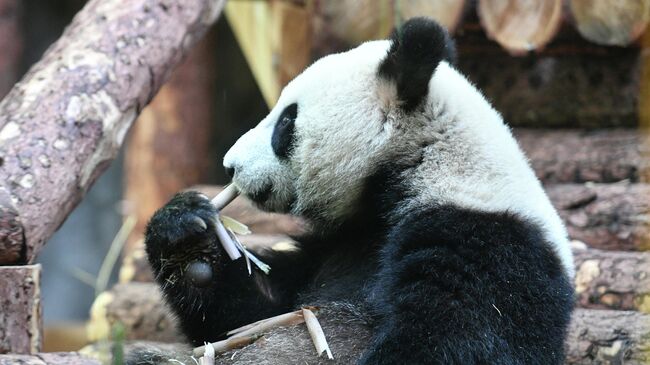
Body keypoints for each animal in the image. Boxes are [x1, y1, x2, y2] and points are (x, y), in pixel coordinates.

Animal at [138, 17, 572, 364]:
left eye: (286, 122)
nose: (231, 165)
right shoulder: (339, 245)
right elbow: (254, 312)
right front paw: (186, 232)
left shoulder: (487, 245)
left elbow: (456, 338)